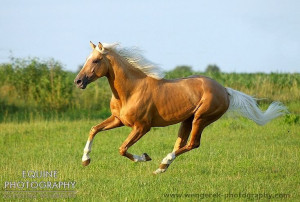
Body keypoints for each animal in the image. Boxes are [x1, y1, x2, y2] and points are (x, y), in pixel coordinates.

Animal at [74, 41, 288, 174]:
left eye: (96, 60)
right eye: (86, 59)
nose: (78, 81)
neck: (132, 90)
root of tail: (225, 90)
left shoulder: (142, 127)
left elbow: (122, 148)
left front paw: (145, 157)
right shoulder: (118, 120)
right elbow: (94, 129)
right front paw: (85, 160)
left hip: (201, 118)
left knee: (192, 144)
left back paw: (162, 162)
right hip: (187, 120)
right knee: (181, 144)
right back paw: (161, 168)